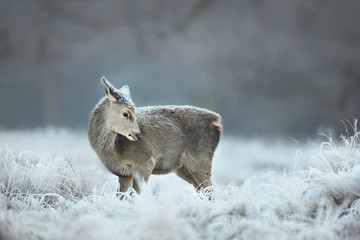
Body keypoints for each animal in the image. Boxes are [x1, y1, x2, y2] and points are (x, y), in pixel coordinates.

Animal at [87, 77, 222, 197]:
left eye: (135, 111)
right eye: (125, 113)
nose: (138, 134)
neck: (115, 151)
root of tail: (217, 121)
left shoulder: (146, 162)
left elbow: (133, 197)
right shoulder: (124, 174)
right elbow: (121, 198)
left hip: (200, 160)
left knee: (209, 192)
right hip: (183, 168)